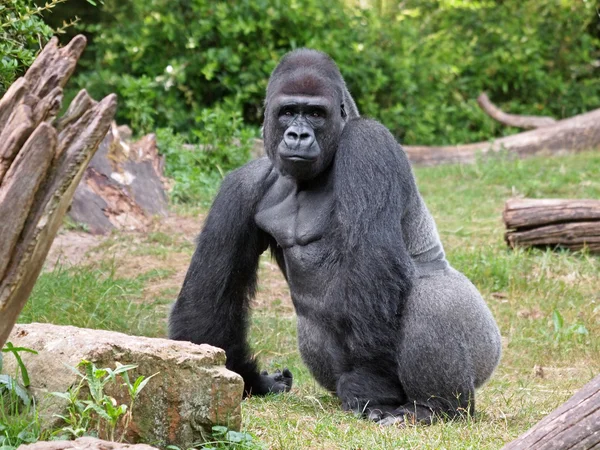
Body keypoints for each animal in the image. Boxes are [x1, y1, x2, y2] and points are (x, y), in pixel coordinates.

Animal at [169, 49, 502, 426]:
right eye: (288, 112)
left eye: (315, 114)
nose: (298, 135)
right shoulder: (241, 185)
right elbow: (209, 300)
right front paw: (247, 381)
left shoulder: (368, 141)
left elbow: (374, 264)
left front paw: (371, 384)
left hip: (484, 349)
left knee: (431, 299)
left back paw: (433, 406)